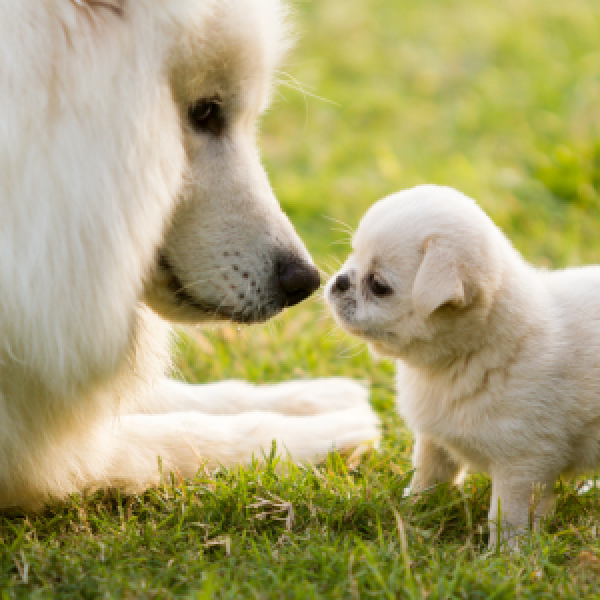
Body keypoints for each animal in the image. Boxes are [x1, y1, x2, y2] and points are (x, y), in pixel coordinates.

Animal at [0, 0, 380, 508]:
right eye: (206, 112)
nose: (304, 282)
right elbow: (173, 438)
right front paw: (321, 433)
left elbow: (170, 396)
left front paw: (310, 398)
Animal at [326, 185, 600, 548]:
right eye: (352, 255)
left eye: (379, 286)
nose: (339, 282)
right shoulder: (434, 442)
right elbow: (426, 479)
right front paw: (413, 514)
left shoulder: (520, 464)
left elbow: (506, 515)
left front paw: (504, 554)